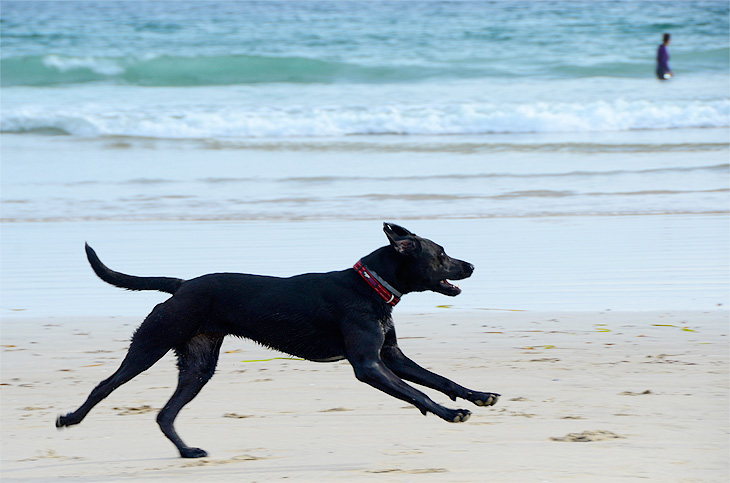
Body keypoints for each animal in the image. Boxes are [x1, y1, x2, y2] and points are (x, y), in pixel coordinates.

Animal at [58, 223, 494, 458]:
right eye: (441, 255)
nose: (473, 265)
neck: (369, 286)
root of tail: (181, 285)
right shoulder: (369, 365)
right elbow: (418, 392)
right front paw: (450, 413)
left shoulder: (392, 356)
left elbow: (439, 379)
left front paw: (477, 396)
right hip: (151, 345)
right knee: (104, 386)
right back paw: (70, 418)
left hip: (198, 365)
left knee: (165, 414)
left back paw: (187, 451)